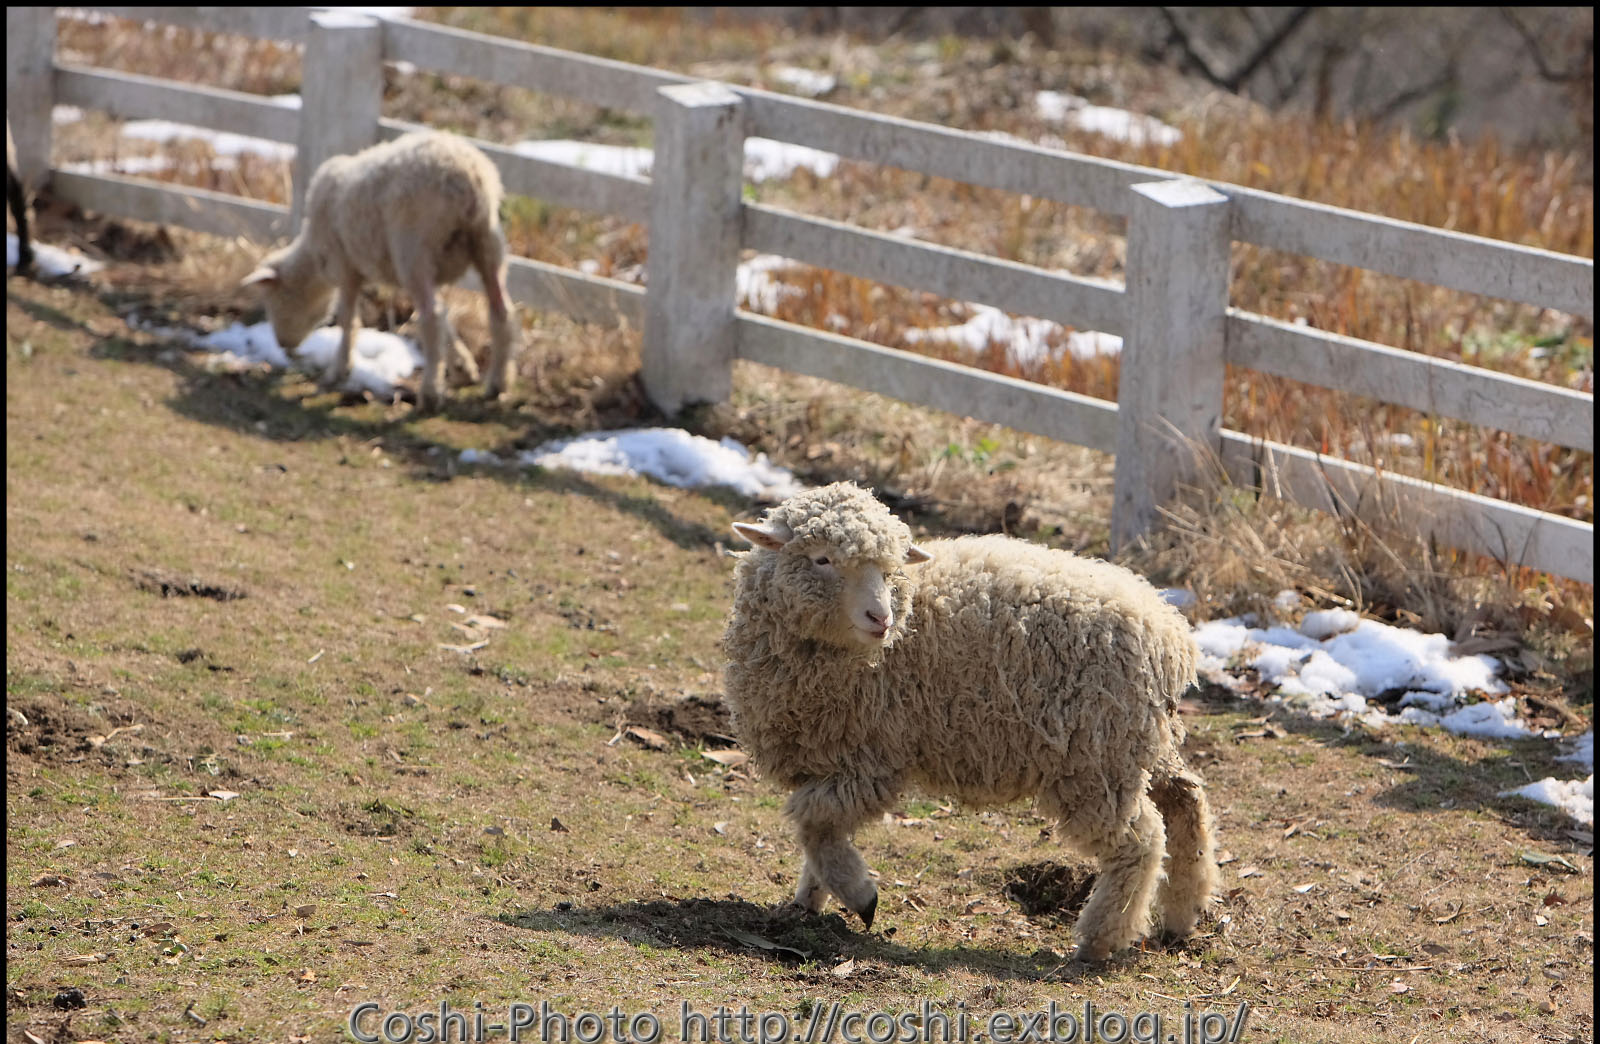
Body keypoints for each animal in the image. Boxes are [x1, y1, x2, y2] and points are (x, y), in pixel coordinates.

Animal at [240, 129, 515, 408]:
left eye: (276, 299)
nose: (283, 344)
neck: (314, 256)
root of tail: (466, 177)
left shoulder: (346, 266)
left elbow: (348, 320)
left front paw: (339, 371)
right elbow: (448, 324)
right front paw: (462, 368)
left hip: (413, 249)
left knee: (432, 317)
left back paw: (430, 393)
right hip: (487, 242)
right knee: (500, 310)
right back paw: (497, 383)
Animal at [720, 480, 1216, 960]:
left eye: (889, 570)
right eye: (821, 559)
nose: (881, 618)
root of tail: (1170, 637)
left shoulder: (871, 758)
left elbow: (813, 823)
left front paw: (859, 896)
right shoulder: (829, 754)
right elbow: (817, 833)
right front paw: (807, 902)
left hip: (1096, 756)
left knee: (1141, 841)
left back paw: (1100, 939)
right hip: (1139, 743)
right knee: (1186, 803)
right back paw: (1183, 914)